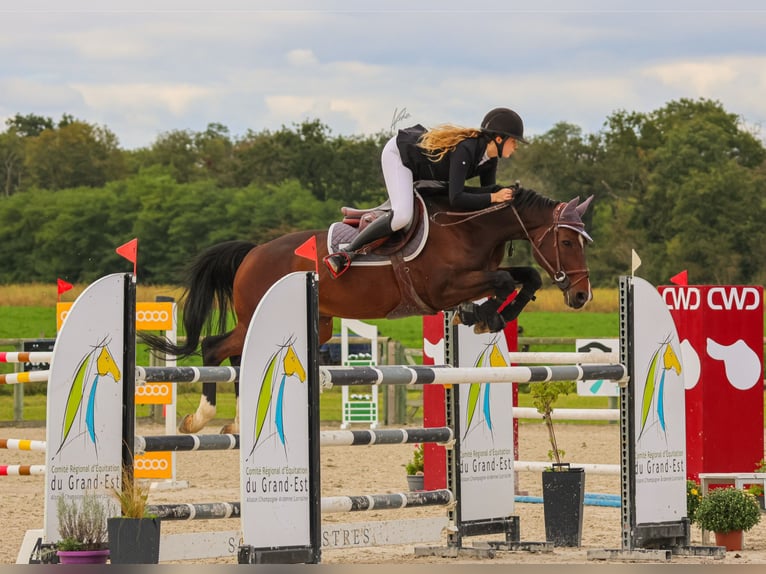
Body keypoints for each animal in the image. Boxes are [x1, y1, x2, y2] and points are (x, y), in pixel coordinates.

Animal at [141, 187, 596, 434]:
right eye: (566, 242)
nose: (581, 296)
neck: (468, 228)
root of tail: (253, 253)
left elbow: (524, 276)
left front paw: (487, 316)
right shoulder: (442, 288)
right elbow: (502, 281)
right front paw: (484, 316)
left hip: (316, 327)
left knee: (238, 355)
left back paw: (235, 422)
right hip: (258, 313)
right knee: (216, 347)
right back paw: (199, 419)